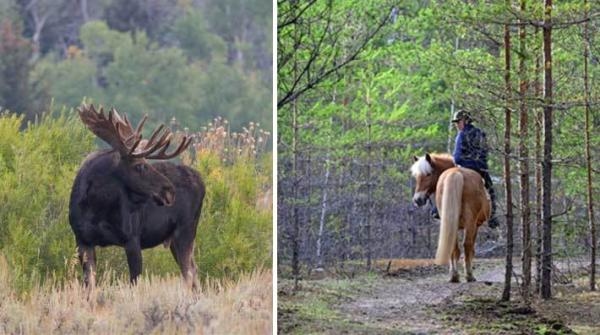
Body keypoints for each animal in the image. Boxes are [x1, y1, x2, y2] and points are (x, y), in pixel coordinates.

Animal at [69, 105, 206, 292]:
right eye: (139, 165)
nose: (169, 190)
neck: (96, 208)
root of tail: (202, 182)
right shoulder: (83, 240)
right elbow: (89, 285)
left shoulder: (132, 238)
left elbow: (134, 283)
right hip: (175, 238)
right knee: (193, 271)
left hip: (186, 230)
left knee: (190, 273)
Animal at [410, 154, 490, 282]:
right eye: (417, 176)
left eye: (428, 174)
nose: (418, 200)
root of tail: (455, 173)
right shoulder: (475, 225)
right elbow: (471, 248)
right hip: (470, 222)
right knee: (467, 245)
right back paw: (469, 275)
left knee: (454, 246)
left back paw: (454, 276)